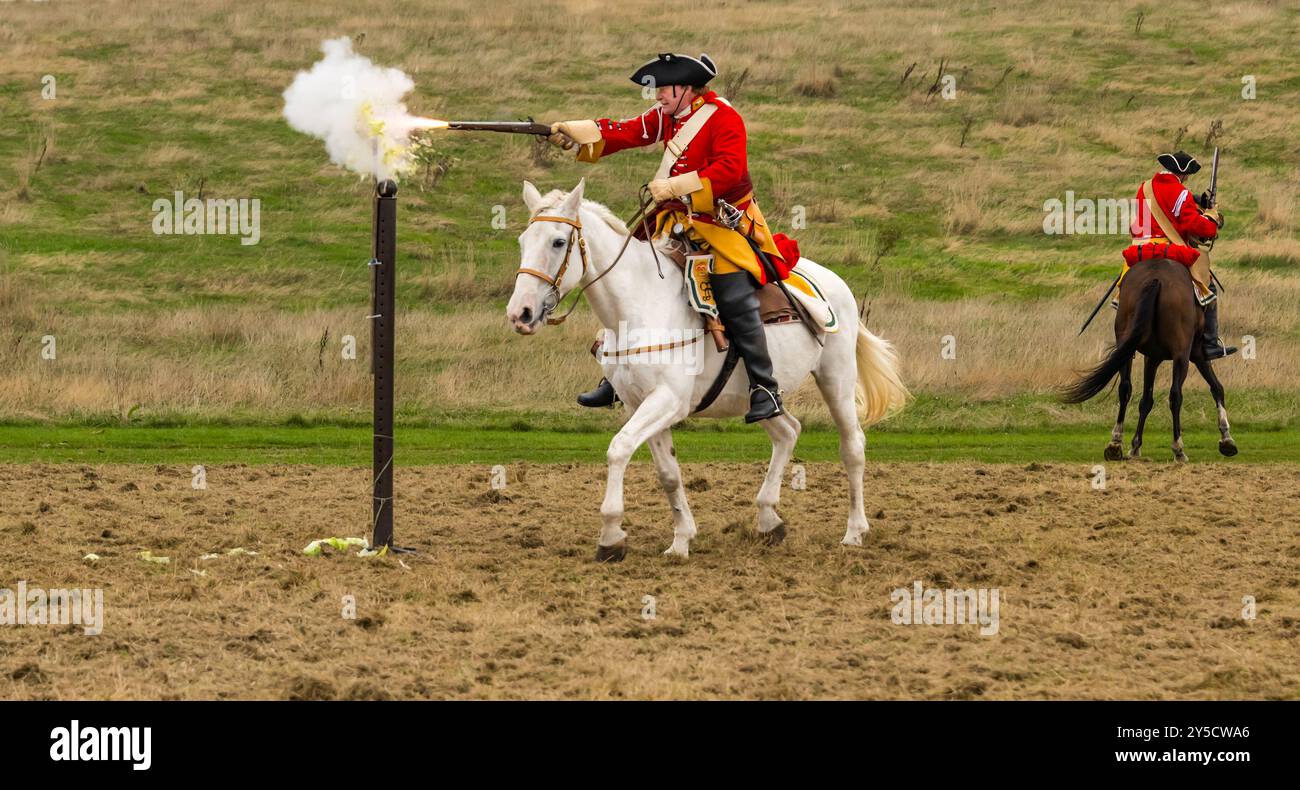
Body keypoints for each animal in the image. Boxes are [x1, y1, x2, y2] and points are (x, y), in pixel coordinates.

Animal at [501, 179, 909, 561]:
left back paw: (854, 532)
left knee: (852, 446)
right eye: (522, 241)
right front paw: (681, 539)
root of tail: (833, 280)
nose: (520, 313)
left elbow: (619, 449)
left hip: (836, 377)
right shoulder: (639, 404)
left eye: (558, 242)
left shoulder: (667, 401)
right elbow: (668, 473)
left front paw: (611, 536)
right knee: (787, 432)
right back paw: (768, 519)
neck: (639, 305)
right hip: (757, 396)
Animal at [1066, 262, 1237, 462]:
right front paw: (1226, 438)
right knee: (1175, 395)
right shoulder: (1196, 355)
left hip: (1126, 346)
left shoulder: (1152, 358)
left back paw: (1115, 443)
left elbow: (1146, 400)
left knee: (1124, 388)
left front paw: (1135, 446)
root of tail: (1156, 278)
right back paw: (1178, 449)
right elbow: (1217, 387)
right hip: (1181, 355)